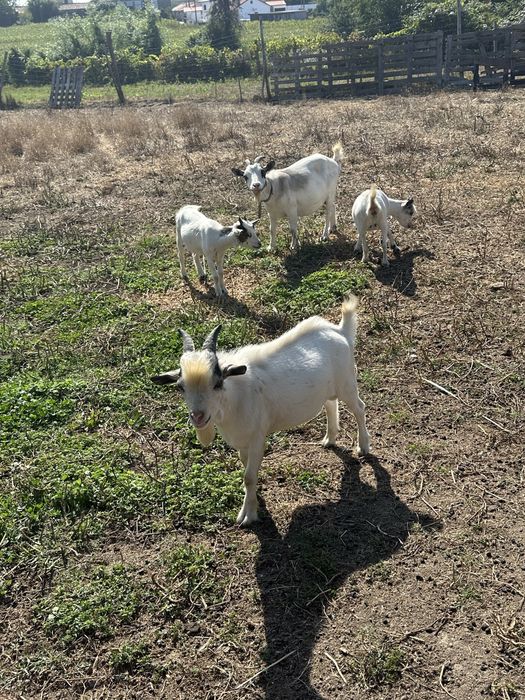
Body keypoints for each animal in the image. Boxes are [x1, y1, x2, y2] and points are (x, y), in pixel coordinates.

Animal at [151, 295, 370, 526]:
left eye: (218, 383)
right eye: (180, 387)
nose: (198, 417)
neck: (234, 398)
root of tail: (340, 331)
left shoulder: (257, 436)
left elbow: (248, 476)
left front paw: (248, 515)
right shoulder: (242, 441)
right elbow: (246, 469)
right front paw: (254, 501)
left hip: (347, 383)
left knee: (359, 408)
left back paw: (363, 446)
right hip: (328, 389)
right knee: (330, 404)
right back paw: (330, 439)